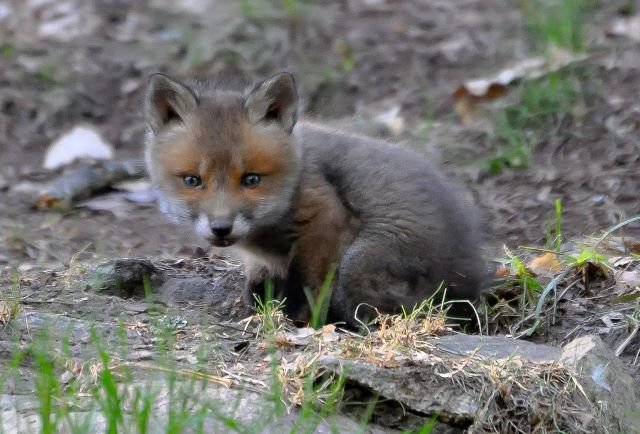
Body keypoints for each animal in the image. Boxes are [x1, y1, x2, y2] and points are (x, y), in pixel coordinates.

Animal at [145, 71, 484, 326]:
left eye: (251, 179)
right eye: (192, 180)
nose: (220, 228)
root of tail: (473, 279)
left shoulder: (326, 218)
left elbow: (305, 288)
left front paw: (294, 321)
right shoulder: (263, 262)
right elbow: (259, 287)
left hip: (358, 263)